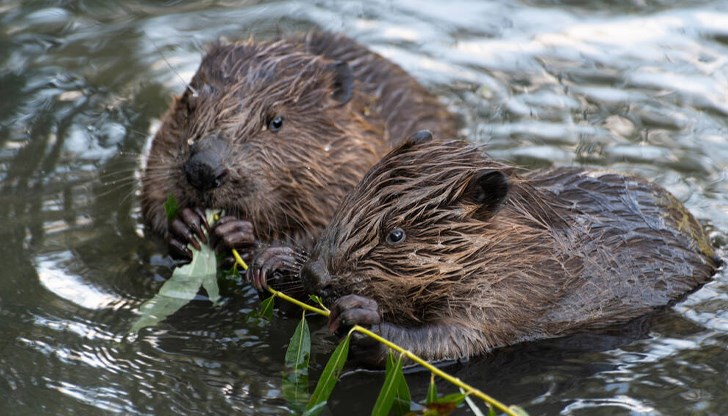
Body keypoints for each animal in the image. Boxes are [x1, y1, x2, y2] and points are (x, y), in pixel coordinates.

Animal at [298, 132, 720, 366]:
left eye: (396, 235)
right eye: (347, 198)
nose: (316, 274)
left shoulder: (517, 289)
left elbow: (457, 340)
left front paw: (360, 318)